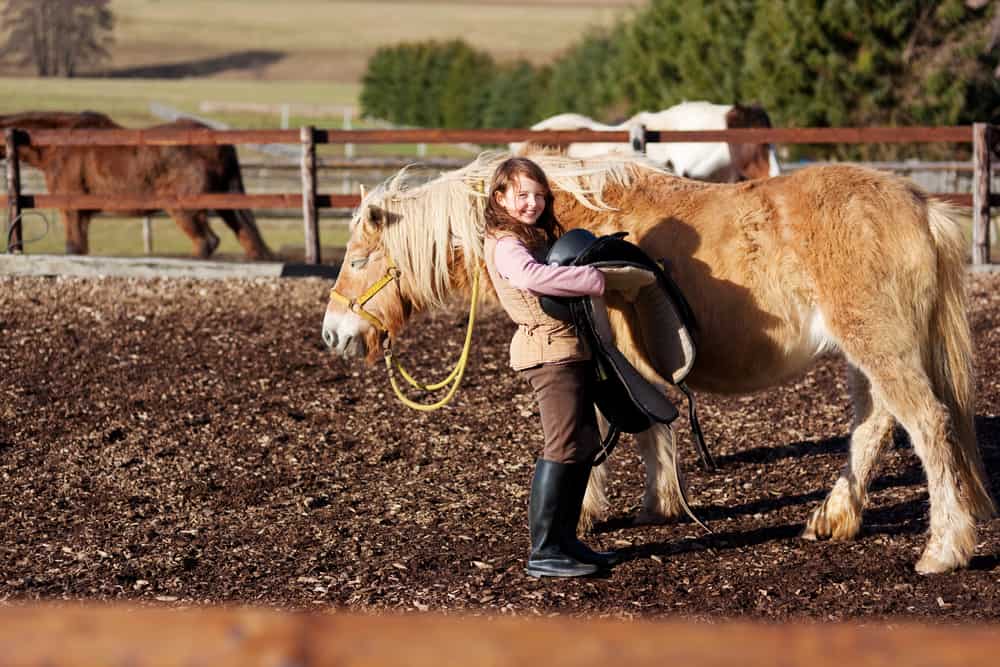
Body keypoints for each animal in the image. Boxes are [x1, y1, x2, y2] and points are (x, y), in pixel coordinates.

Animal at [0, 111, 273, 259]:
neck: (58, 144)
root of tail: (218, 143)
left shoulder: (72, 210)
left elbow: (73, 249)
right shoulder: (83, 214)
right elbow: (80, 249)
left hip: (184, 209)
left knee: (207, 242)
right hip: (227, 204)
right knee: (249, 240)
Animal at [321, 150, 994, 574]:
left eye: (357, 258)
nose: (334, 334)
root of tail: (920, 205)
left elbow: (604, 430)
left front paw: (589, 515)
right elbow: (647, 425)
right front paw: (658, 501)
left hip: (879, 344)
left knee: (927, 424)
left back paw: (943, 550)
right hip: (865, 352)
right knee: (874, 424)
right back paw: (834, 517)